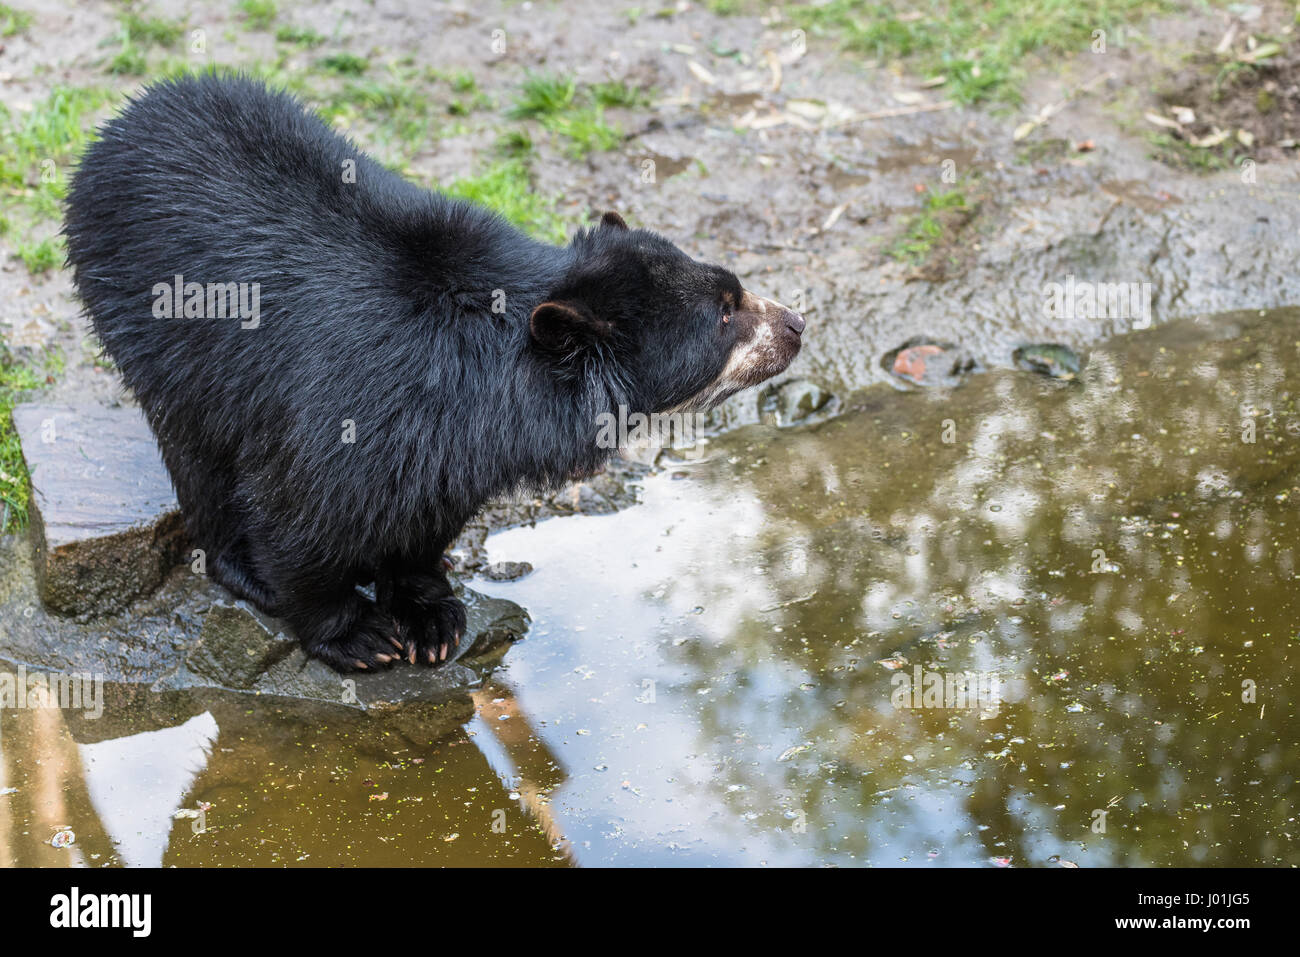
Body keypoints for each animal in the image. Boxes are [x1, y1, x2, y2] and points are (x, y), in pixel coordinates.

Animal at [63, 72, 804, 672]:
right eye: (726, 315)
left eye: (735, 288)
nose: (796, 324)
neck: (491, 375)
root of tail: (128, 117)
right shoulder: (354, 400)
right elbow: (298, 508)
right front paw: (357, 634)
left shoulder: (456, 439)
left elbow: (428, 511)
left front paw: (428, 615)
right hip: (154, 327)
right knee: (199, 453)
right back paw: (242, 565)